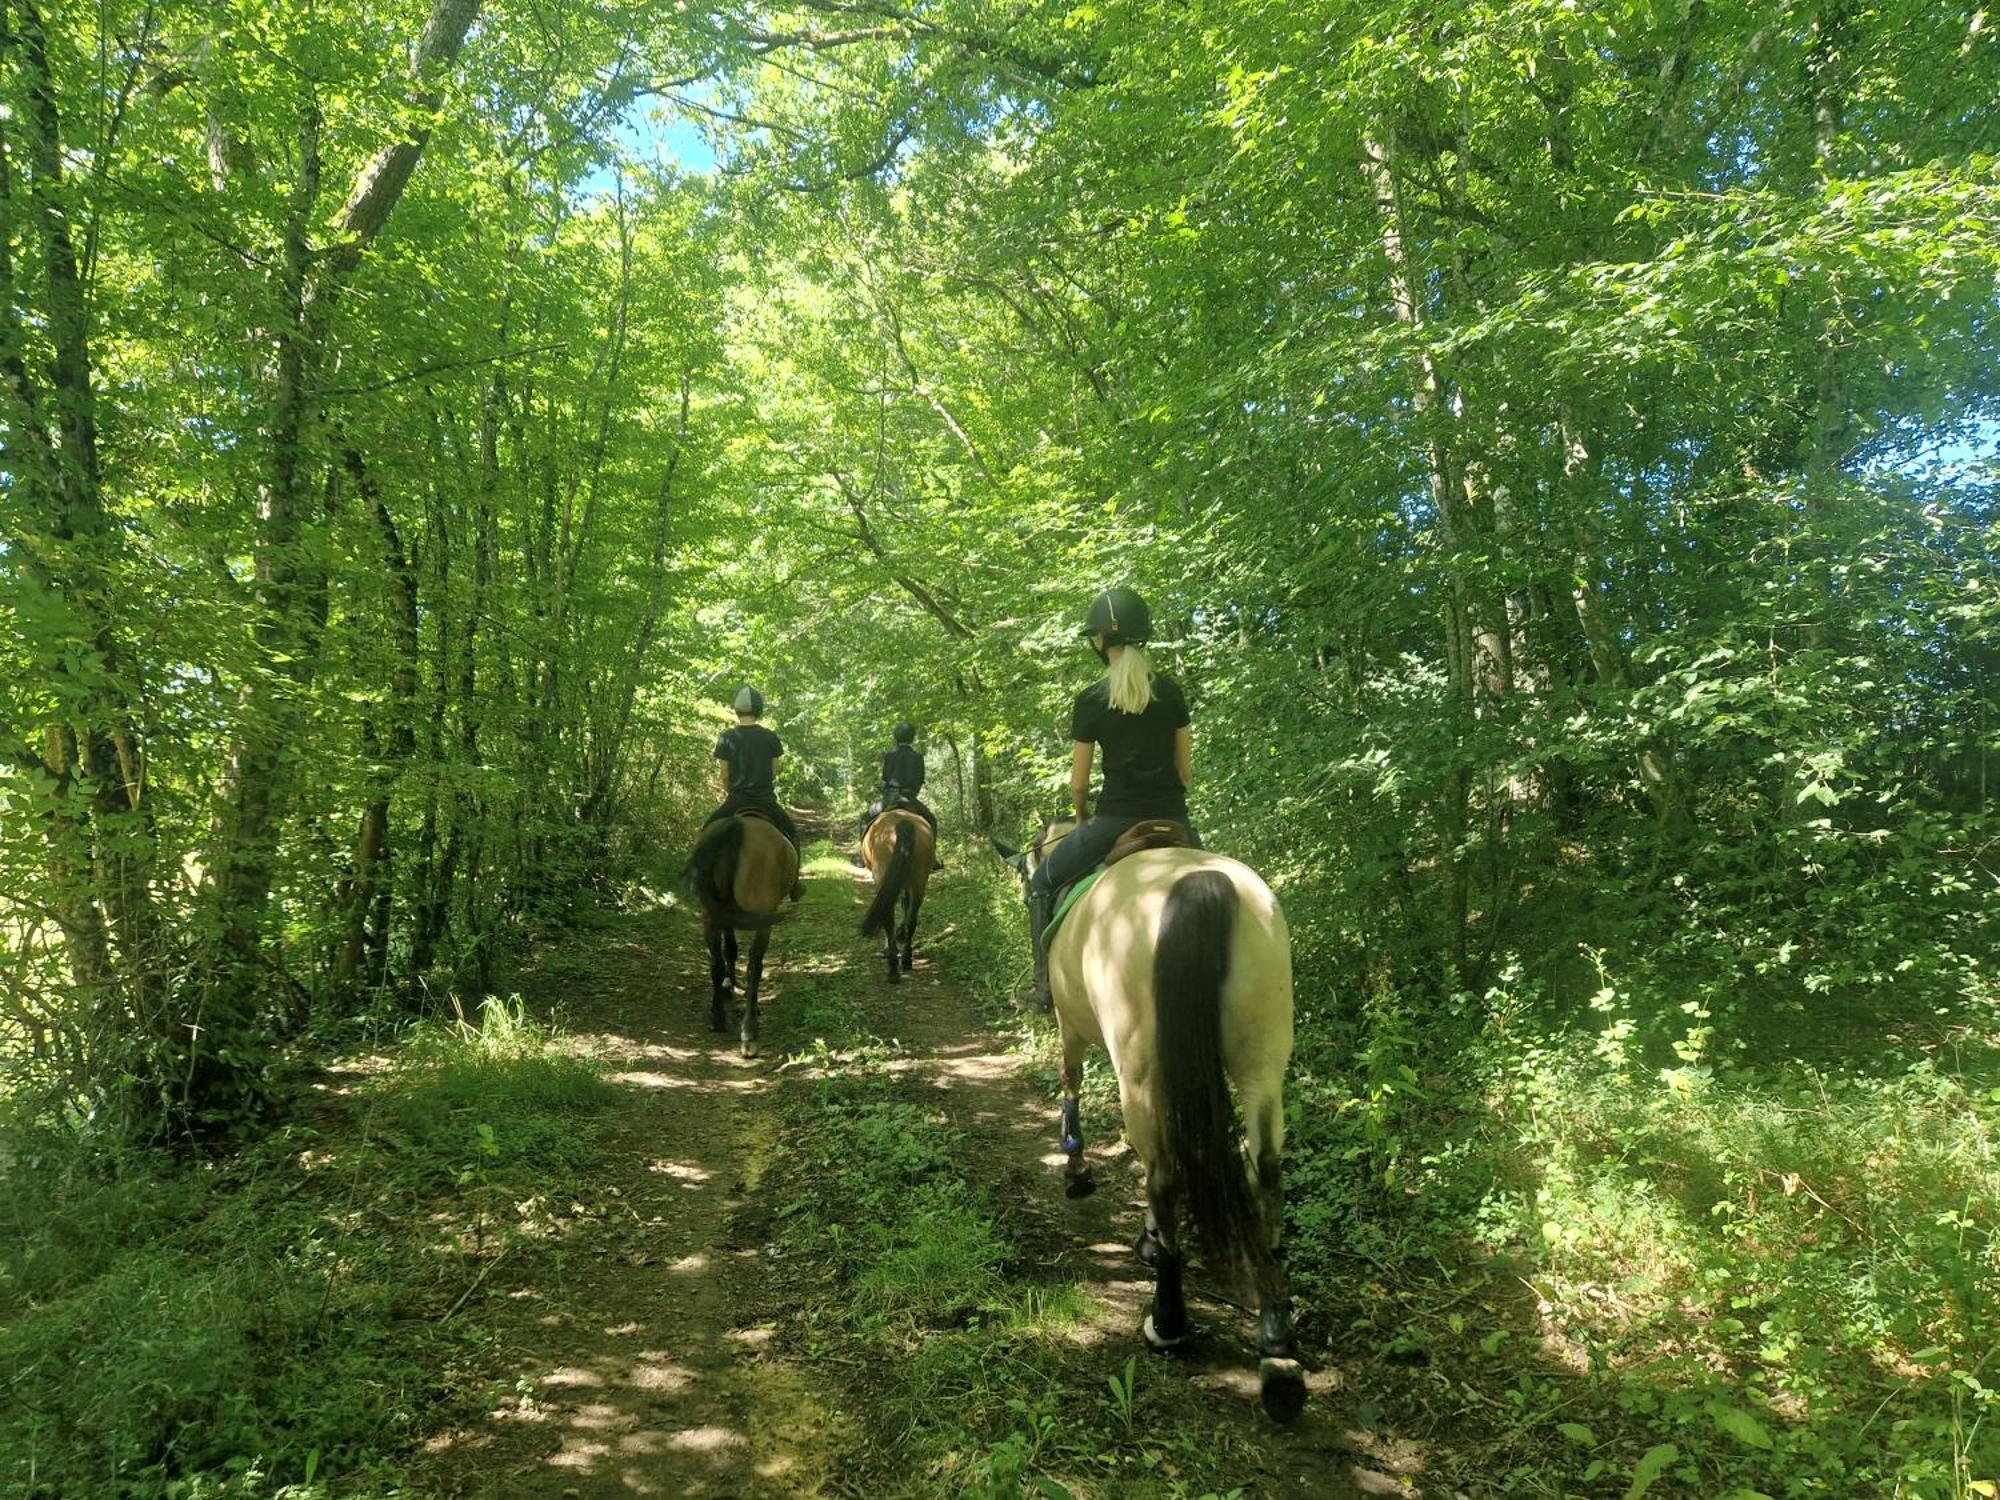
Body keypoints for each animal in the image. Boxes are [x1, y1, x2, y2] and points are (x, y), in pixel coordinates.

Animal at [680, 812, 788, 1056]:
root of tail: (736, 825)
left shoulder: (725, 914)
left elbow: (729, 949)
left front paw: (728, 985)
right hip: (762, 917)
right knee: (754, 967)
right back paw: (749, 1030)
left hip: (711, 914)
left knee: (716, 963)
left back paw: (717, 1018)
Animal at [860, 812, 936, 988]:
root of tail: (903, 822)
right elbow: (905, 906)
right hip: (919, 881)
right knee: (912, 919)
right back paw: (907, 959)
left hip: (881, 876)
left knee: (888, 919)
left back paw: (893, 968)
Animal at [992, 828, 1304, 1424]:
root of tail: (1200, 884)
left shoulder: (1070, 1026)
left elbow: (1069, 1084)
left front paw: (1077, 1170)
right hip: (1263, 1056)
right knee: (1266, 1168)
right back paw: (1276, 1335)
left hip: (1140, 1069)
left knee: (1161, 1173)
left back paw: (1168, 1321)